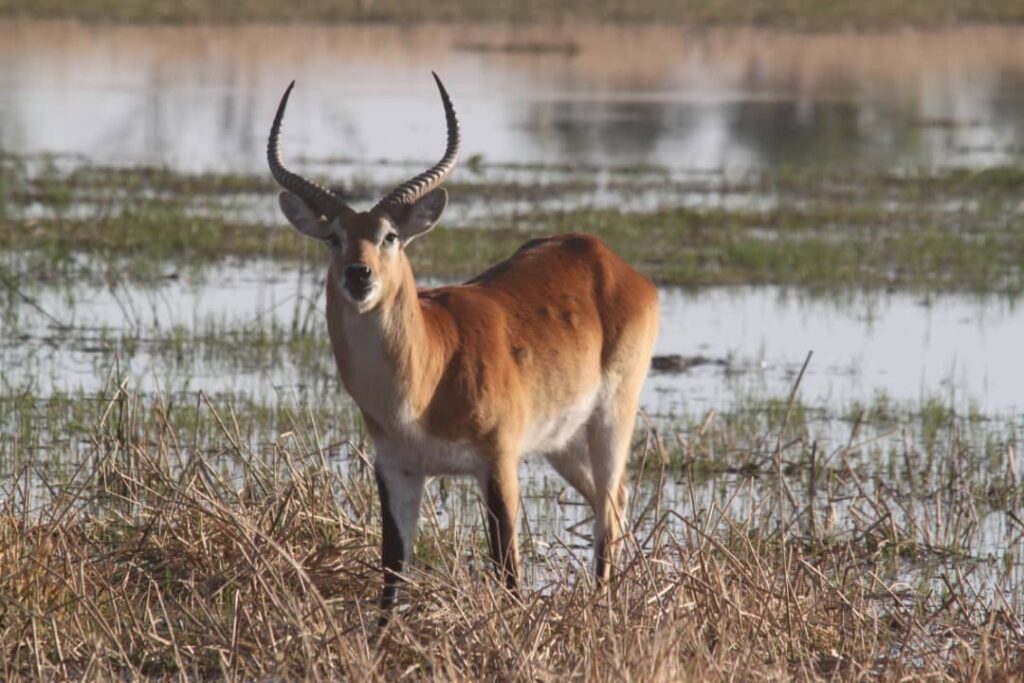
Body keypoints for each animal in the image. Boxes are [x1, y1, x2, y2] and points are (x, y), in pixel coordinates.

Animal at [268, 74, 659, 614]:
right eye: (333, 237)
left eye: (390, 236)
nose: (358, 274)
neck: (423, 382)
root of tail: (607, 258)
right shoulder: (397, 468)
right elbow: (391, 574)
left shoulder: (497, 461)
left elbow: (508, 569)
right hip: (560, 441)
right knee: (617, 498)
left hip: (612, 417)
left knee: (607, 505)